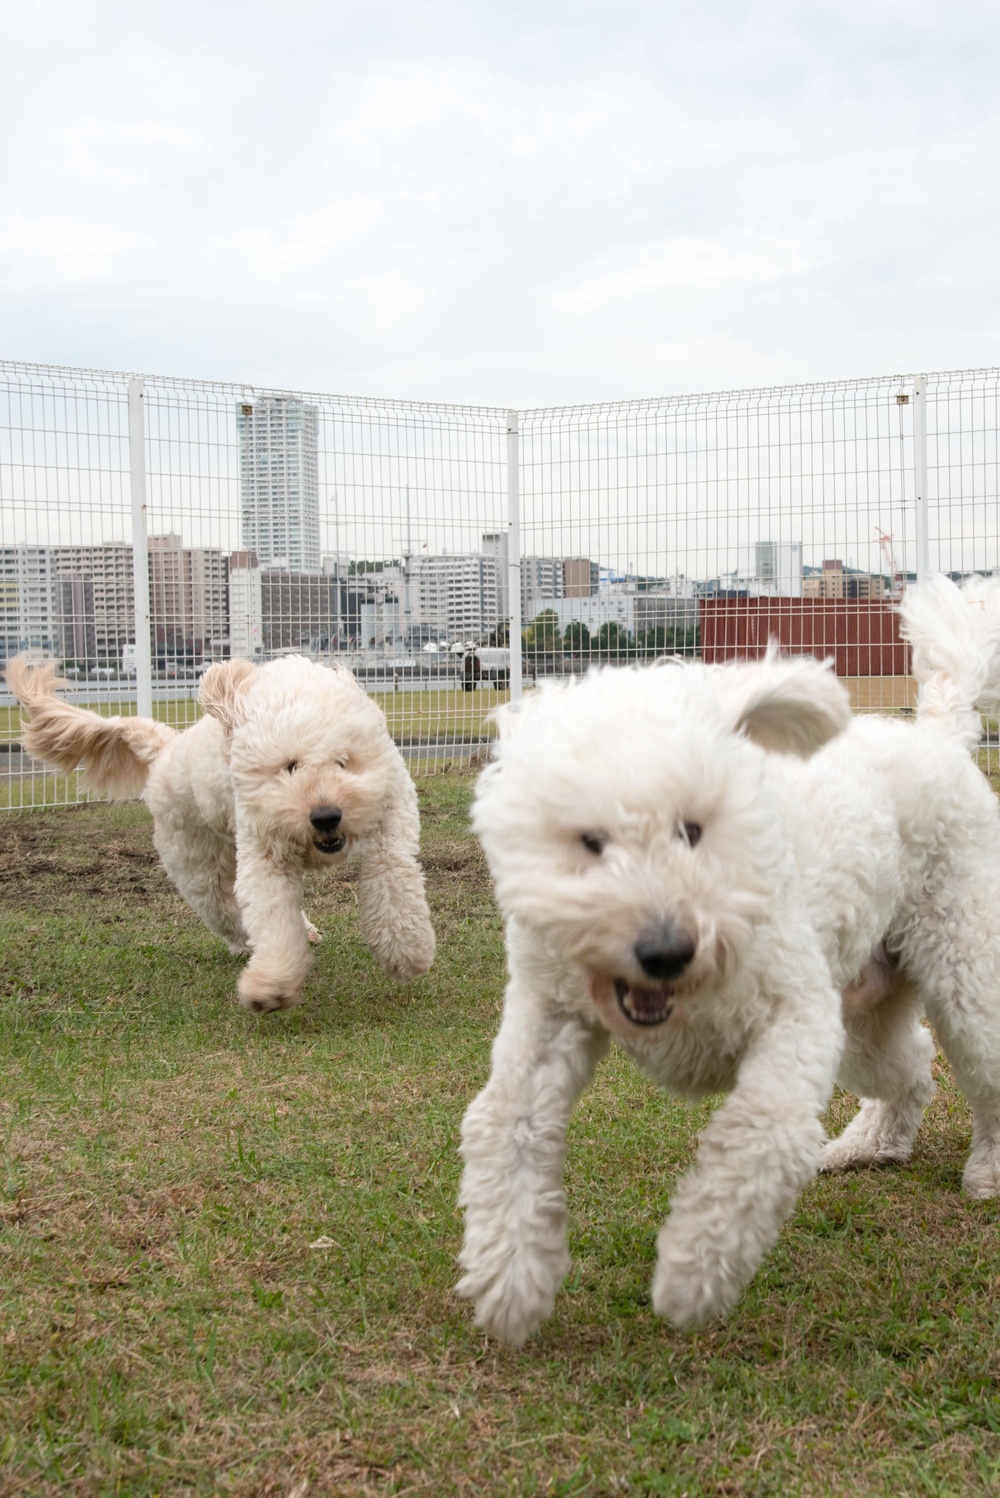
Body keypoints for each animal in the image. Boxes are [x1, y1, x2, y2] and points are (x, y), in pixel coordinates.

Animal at [4, 653, 434, 1012]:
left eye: (343, 761)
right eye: (289, 766)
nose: (325, 816)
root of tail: (166, 748)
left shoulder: (392, 812)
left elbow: (392, 878)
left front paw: (405, 952)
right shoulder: (263, 855)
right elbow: (273, 918)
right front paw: (270, 985)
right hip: (200, 866)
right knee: (231, 913)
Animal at [458, 575, 1000, 1348]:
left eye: (692, 830)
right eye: (590, 841)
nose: (664, 950)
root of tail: (936, 732)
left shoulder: (796, 1017)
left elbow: (755, 1137)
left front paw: (692, 1273)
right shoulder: (549, 1019)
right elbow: (505, 1126)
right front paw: (509, 1278)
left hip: (963, 973)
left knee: (981, 1070)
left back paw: (985, 1172)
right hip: (864, 1011)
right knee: (912, 1063)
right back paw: (869, 1143)